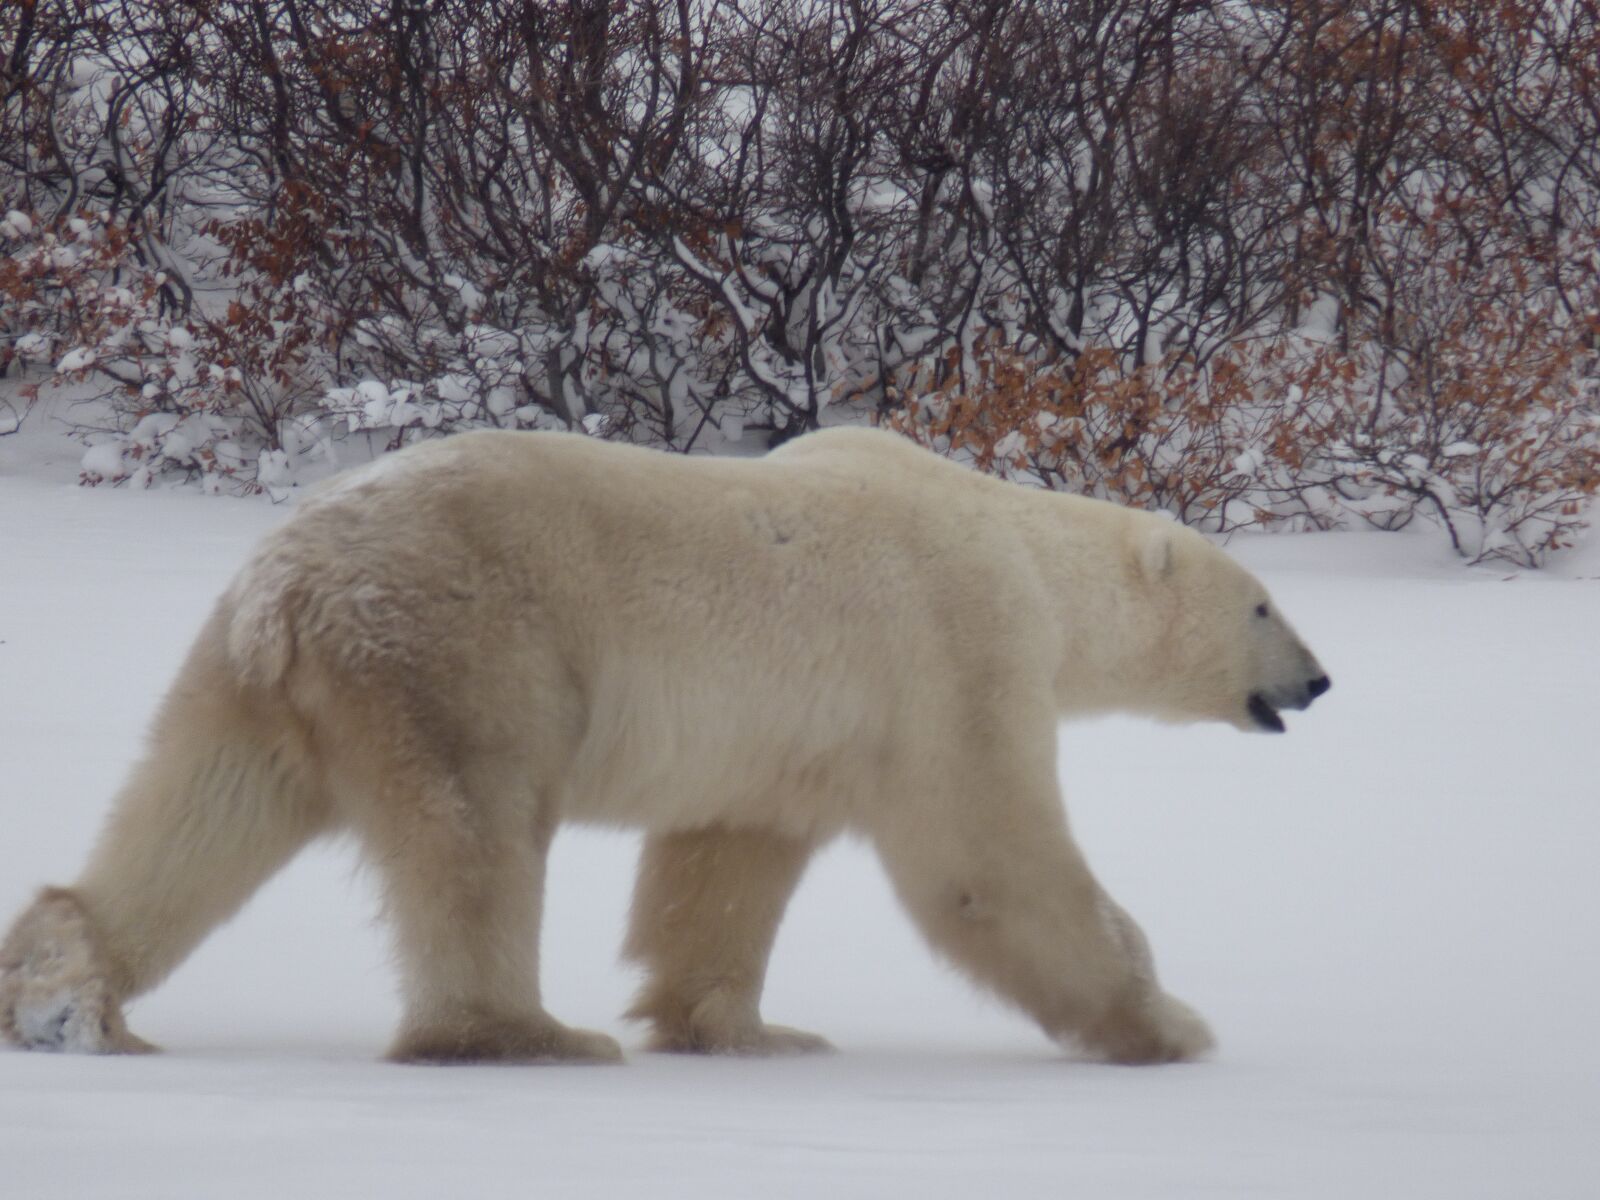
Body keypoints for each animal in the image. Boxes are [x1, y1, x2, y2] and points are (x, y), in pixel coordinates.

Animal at [0, 428, 1324, 1068]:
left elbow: (726, 862)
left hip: (257, 680)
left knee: (199, 811)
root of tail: (292, 587)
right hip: (465, 646)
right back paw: (524, 1036)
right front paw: (1169, 1026)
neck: (1021, 547)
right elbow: (988, 862)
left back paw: (66, 998)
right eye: (1263, 603)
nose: (1317, 680)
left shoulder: (786, 735)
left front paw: (745, 1030)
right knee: (478, 840)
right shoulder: (958, 652)